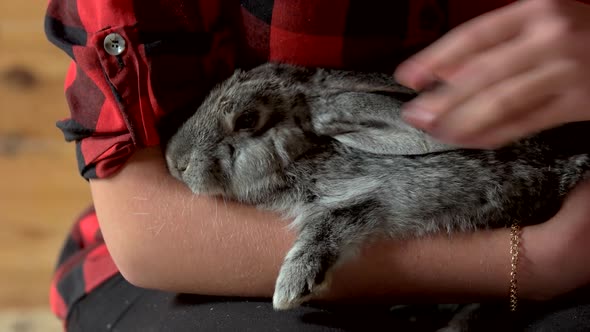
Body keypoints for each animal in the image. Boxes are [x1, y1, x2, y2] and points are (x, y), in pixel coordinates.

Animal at [164, 62, 590, 314]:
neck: (308, 153)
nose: (174, 162)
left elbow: (329, 226)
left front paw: (290, 287)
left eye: (247, 120)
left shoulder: (371, 197)